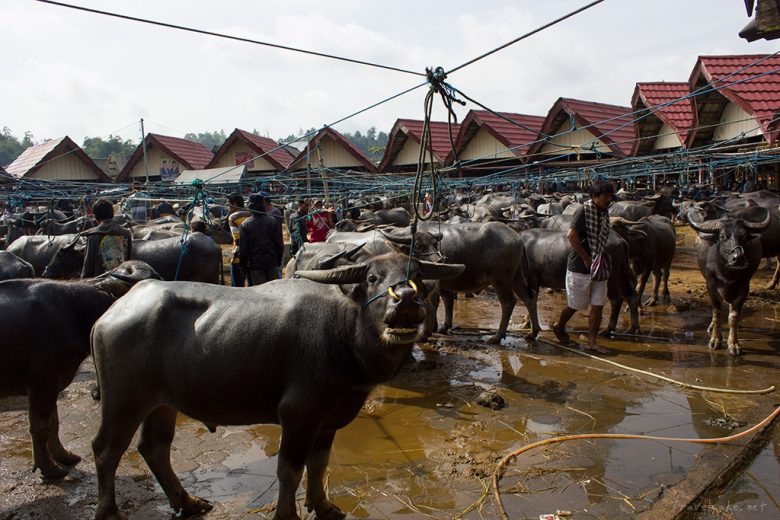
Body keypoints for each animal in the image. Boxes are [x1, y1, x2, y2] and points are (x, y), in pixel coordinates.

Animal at [0, 262, 160, 482]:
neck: (72, 309)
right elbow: (40, 427)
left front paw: (63, 455)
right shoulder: (43, 381)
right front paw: (49, 468)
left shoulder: (54, 382)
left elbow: (54, 421)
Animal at [88, 254, 464, 520]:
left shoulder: (328, 419)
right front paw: (288, 514)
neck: (342, 334)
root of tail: (111, 312)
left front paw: (323, 506)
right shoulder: (298, 415)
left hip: (163, 403)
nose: (406, 300)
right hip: (124, 399)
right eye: (373, 278)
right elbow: (289, 470)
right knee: (106, 449)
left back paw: (188, 502)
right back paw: (110, 512)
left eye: (417, 276)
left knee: (154, 447)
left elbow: (319, 464)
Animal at [688, 209, 768, 356]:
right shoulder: (711, 286)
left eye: (743, 236)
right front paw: (715, 340)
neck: (728, 273)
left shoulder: (744, 289)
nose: (739, 258)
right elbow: (717, 313)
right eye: (723, 237)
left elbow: (733, 317)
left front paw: (733, 344)